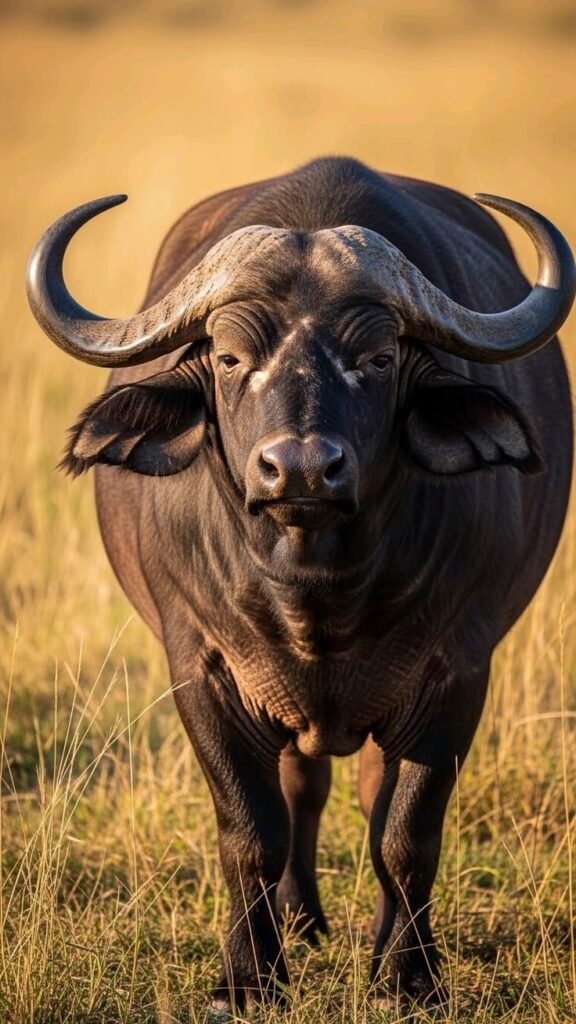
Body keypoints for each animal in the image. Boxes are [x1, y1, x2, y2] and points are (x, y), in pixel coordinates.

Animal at [27, 157, 575, 1013]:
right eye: (228, 358)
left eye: (378, 359)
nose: (302, 469)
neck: (316, 591)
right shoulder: (203, 670)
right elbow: (251, 830)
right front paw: (248, 979)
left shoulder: (457, 672)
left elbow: (406, 834)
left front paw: (409, 977)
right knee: (302, 787)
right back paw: (299, 920)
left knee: (367, 797)